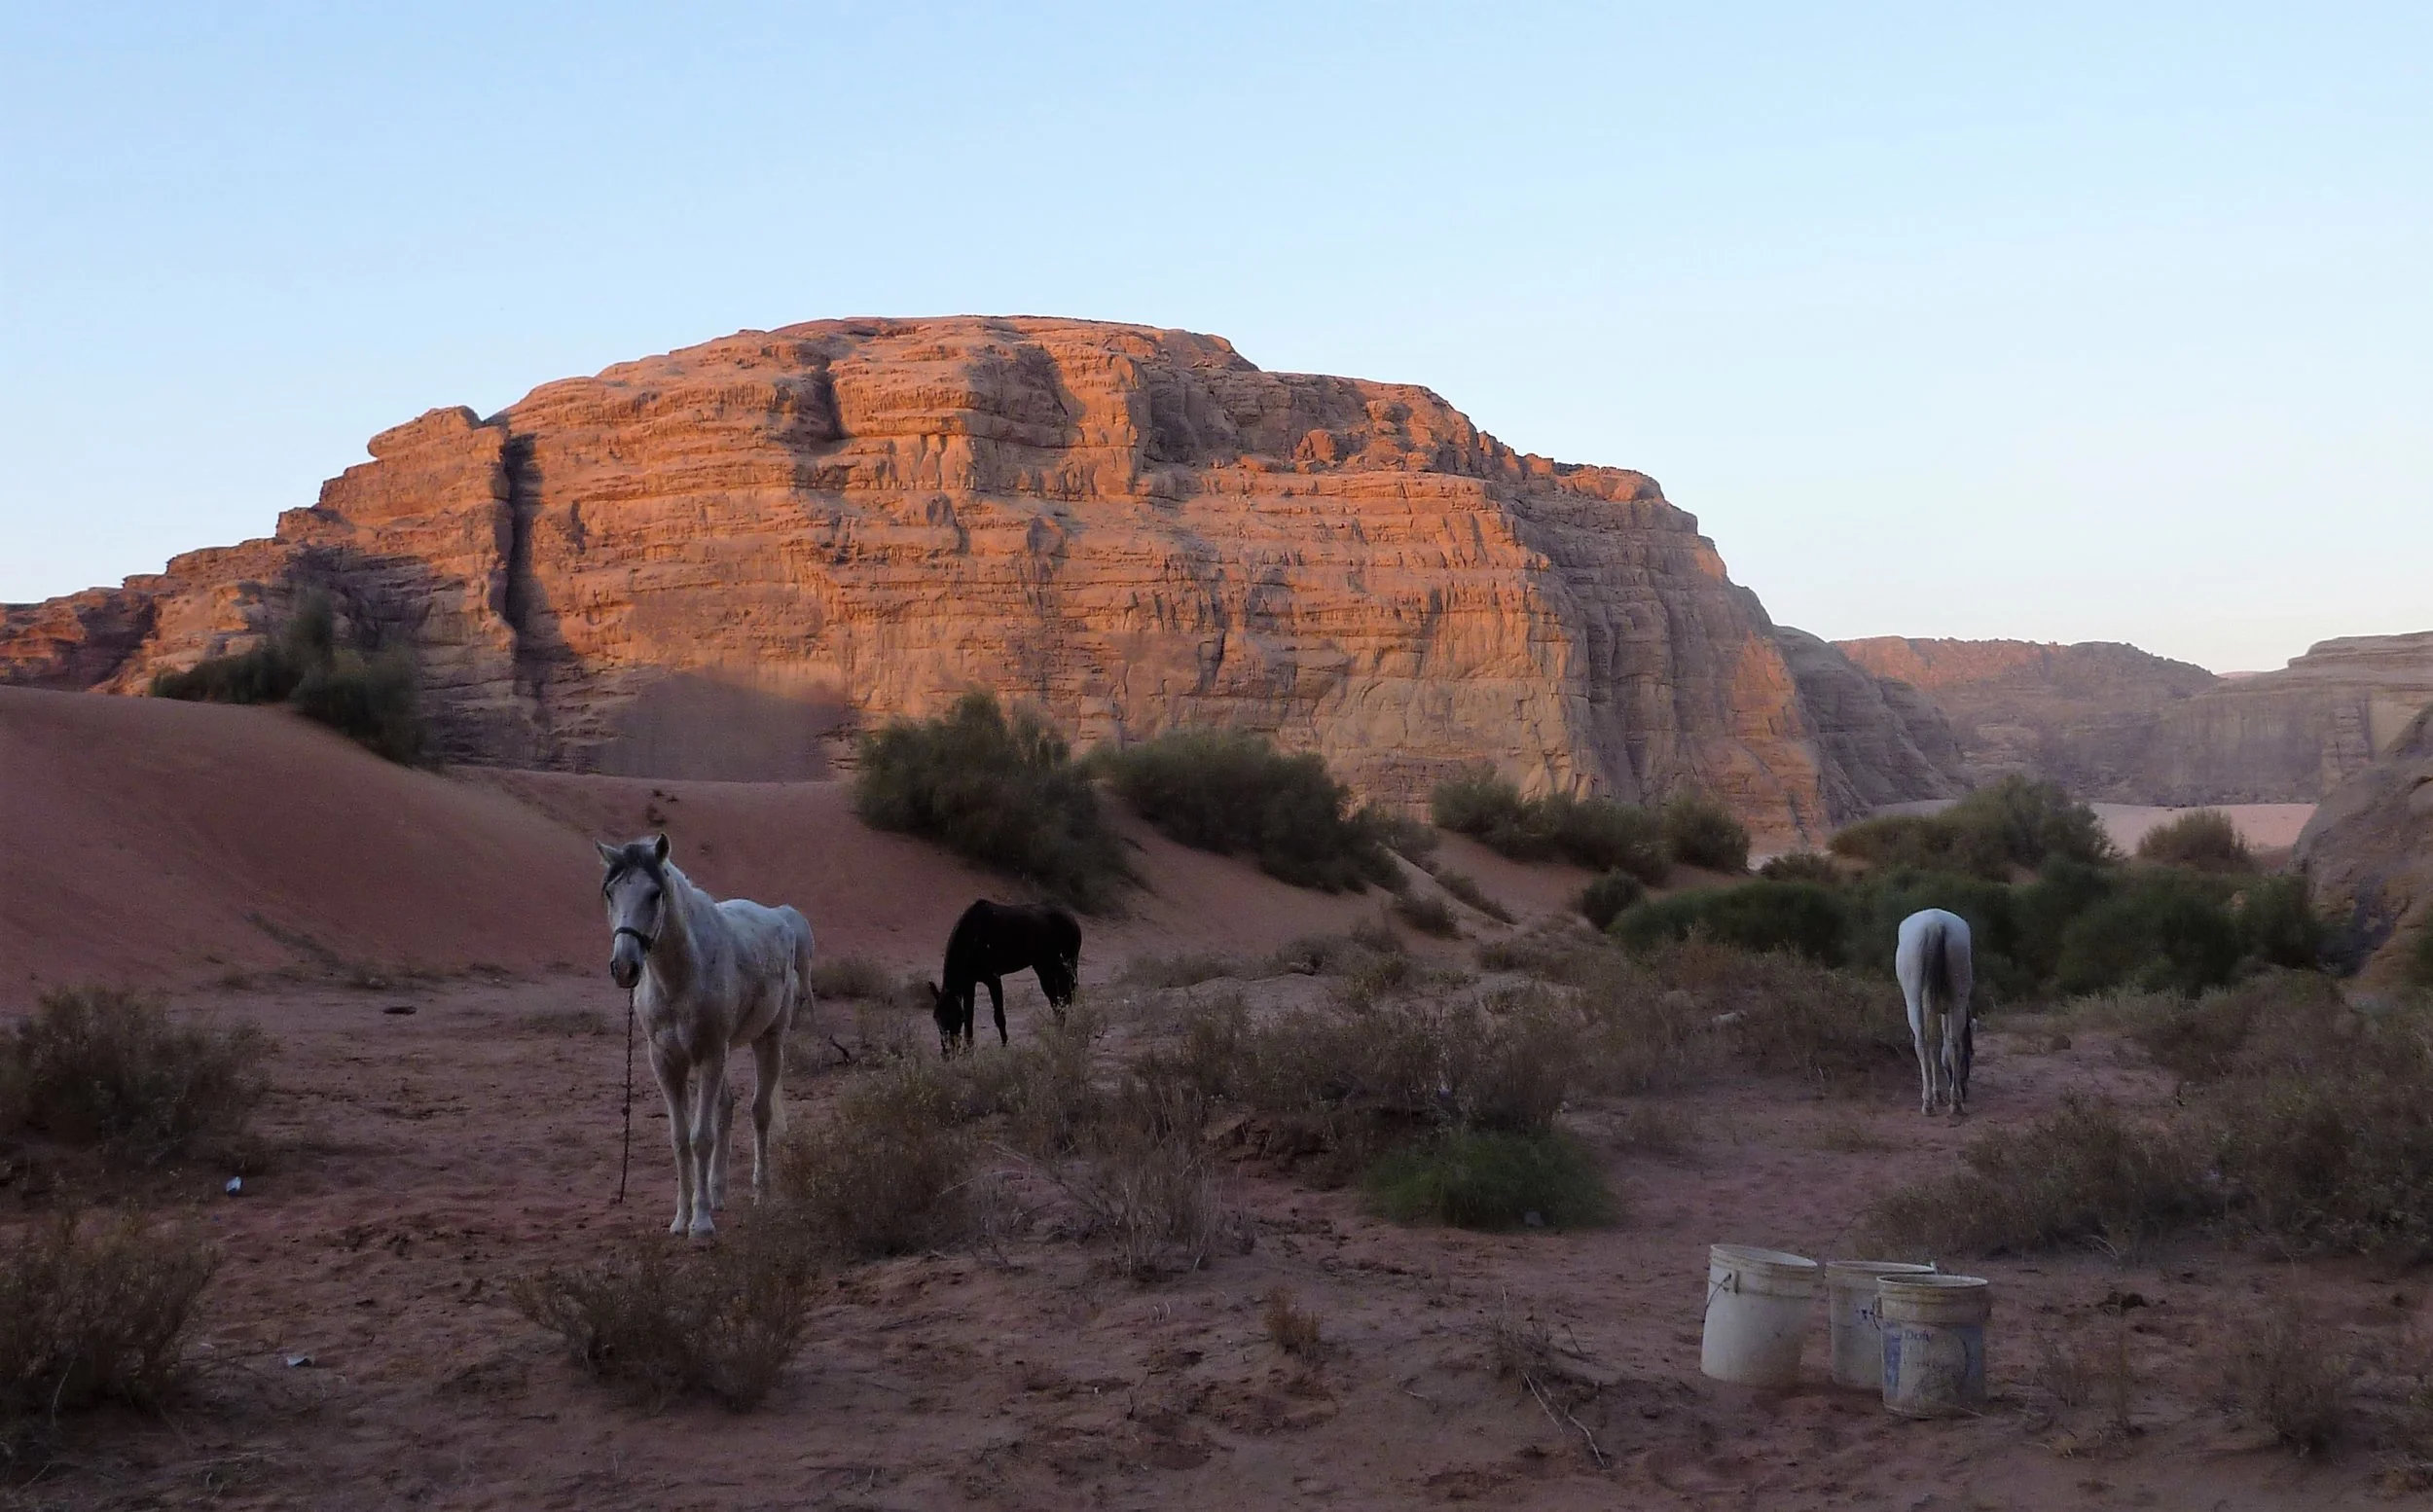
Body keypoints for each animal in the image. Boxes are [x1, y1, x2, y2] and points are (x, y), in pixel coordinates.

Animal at [598, 833, 815, 1237]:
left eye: (654, 893)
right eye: (610, 892)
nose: (624, 967)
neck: (681, 976)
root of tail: (781, 918)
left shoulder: (711, 1054)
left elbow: (701, 1137)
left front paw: (700, 1225)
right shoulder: (666, 1062)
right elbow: (681, 1139)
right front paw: (682, 1218)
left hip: (768, 1041)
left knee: (759, 1112)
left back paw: (761, 1193)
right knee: (726, 1107)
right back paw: (716, 1192)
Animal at [929, 900, 1082, 1056]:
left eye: (956, 1017)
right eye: (936, 1017)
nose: (947, 1053)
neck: (971, 939)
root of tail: (1072, 918)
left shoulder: (993, 980)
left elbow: (999, 1017)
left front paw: (1004, 1047)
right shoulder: (969, 985)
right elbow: (970, 1018)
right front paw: (969, 1052)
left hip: (1067, 965)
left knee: (1068, 996)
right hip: (1043, 968)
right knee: (1057, 1000)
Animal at [1895, 907, 1976, 1116]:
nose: (1966, 1091)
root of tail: (1935, 924)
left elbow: (1934, 1044)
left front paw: (1937, 1093)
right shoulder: (1945, 1011)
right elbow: (1941, 1044)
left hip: (1914, 1001)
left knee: (1922, 1043)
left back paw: (1929, 1101)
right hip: (1957, 998)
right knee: (1953, 1043)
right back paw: (1955, 1103)